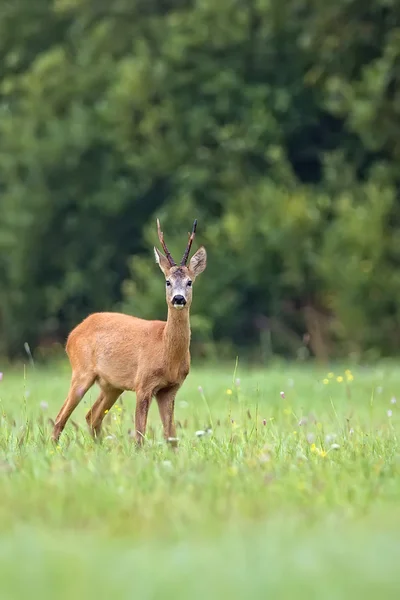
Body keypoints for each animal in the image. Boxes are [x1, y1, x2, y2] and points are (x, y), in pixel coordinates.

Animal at [50, 219, 206, 446]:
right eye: (167, 281)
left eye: (190, 281)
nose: (178, 298)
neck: (166, 350)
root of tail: (73, 334)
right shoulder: (143, 383)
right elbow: (140, 434)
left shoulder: (170, 389)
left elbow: (171, 436)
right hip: (81, 371)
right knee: (60, 417)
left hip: (111, 385)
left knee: (92, 416)